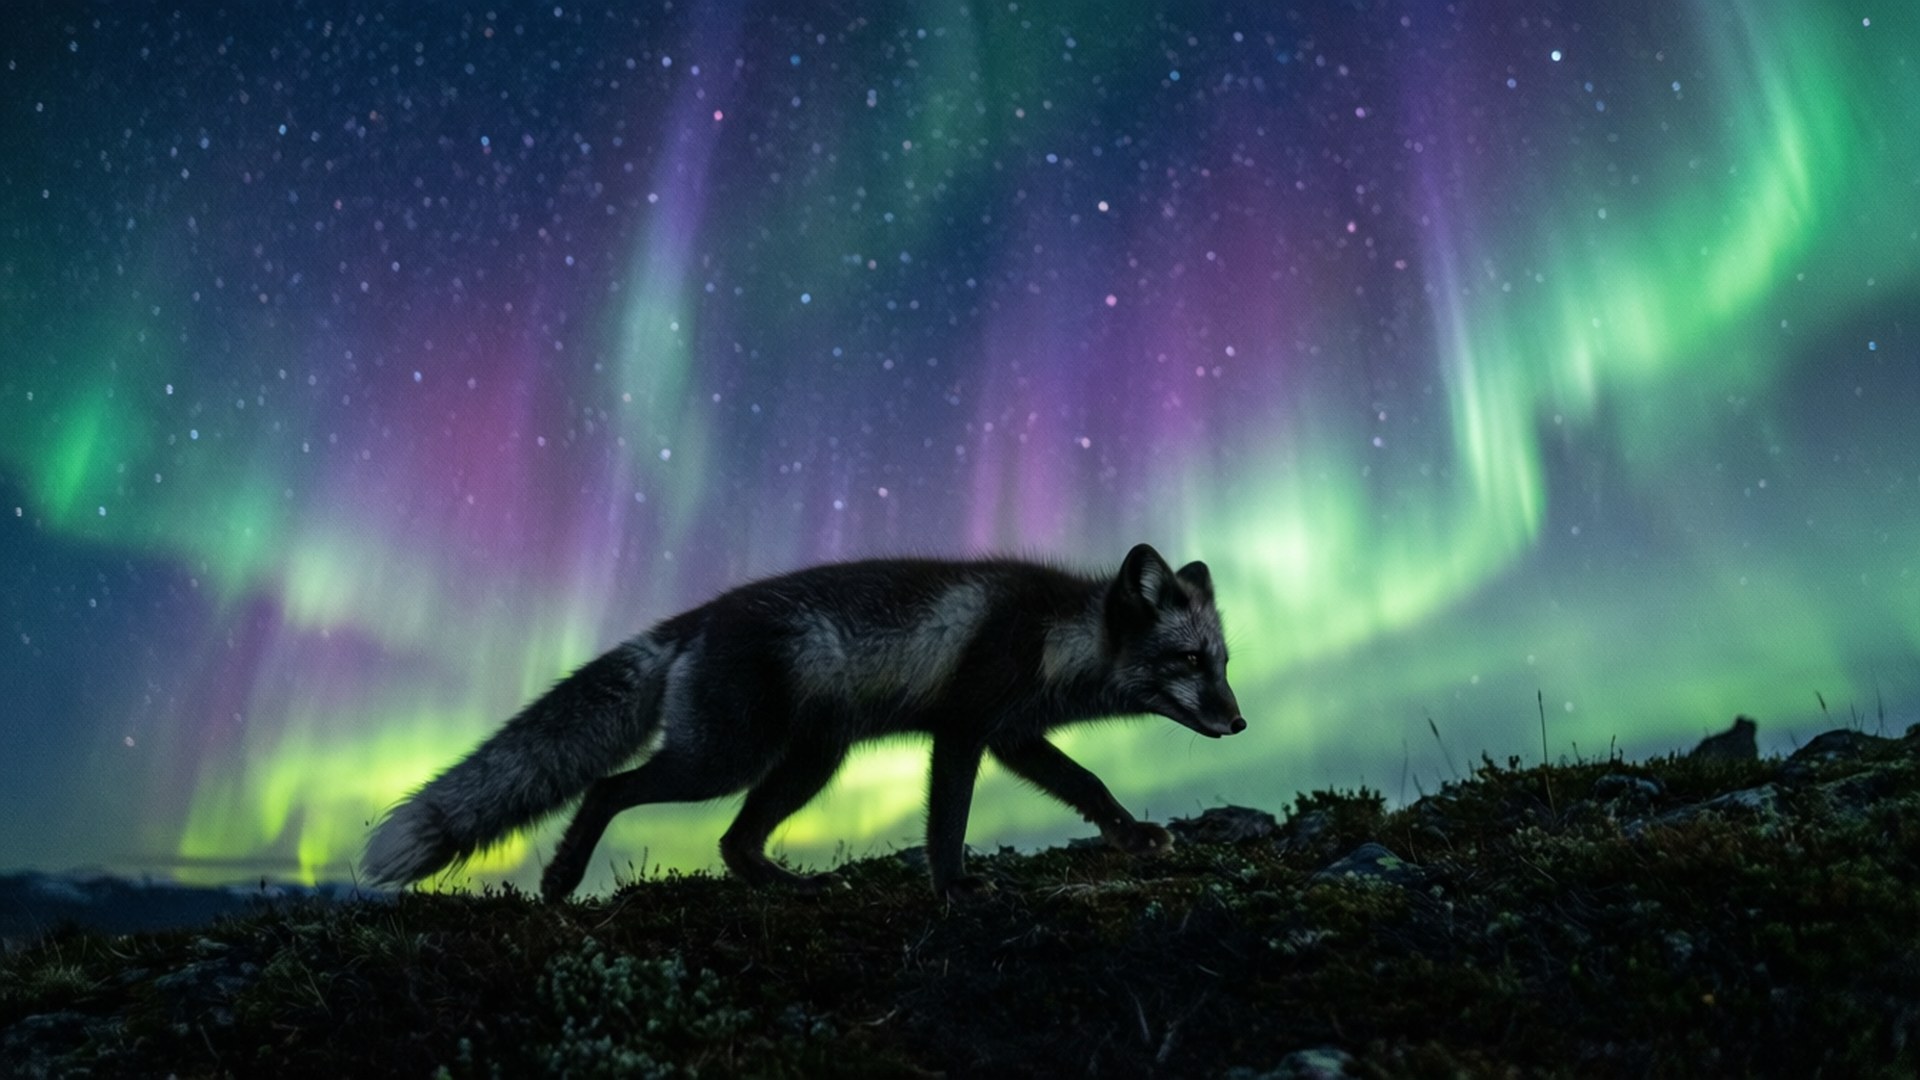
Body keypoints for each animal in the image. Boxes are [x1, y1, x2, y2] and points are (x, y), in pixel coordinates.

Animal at [361, 542, 1245, 901]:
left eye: (1225, 661)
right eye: (1189, 660)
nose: (1239, 723)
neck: (1051, 634)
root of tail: (698, 618)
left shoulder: (1013, 736)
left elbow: (1087, 782)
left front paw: (1134, 838)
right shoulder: (966, 730)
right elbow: (949, 821)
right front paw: (955, 887)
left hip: (810, 763)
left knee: (733, 844)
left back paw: (789, 885)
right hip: (725, 760)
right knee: (610, 789)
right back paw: (561, 879)